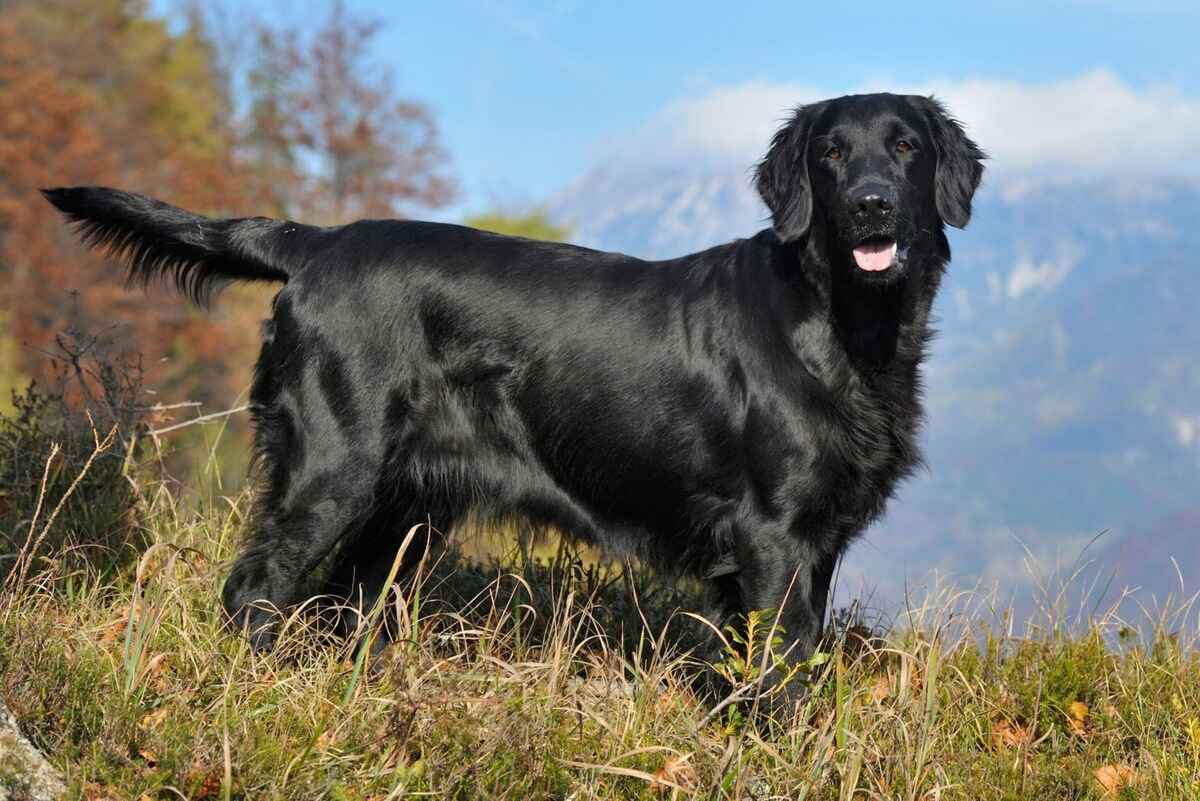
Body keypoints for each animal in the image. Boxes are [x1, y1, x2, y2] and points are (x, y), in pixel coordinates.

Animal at [44, 90, 984, 700]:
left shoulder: (816, 544)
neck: (844, 322)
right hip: (332, 471)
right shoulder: (772, 537)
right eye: (831, 153)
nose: (871, 205)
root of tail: (315, 243)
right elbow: (780, 677)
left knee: (339, 604)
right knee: (254, 588)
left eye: (905, 148)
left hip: (402, 510)